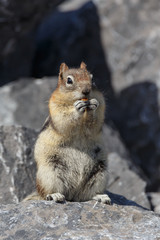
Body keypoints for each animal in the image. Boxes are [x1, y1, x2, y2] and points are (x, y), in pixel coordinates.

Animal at [24, 62, 111, 204]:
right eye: (69, 80)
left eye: (92, 78)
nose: (86, 91)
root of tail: (72, 195)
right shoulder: (55, 107)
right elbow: (65, 120)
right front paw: (77, 108)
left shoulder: (101, 105)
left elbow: (95, 122)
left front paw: (93, 105)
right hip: (49, 174)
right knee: (47, 193)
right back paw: (55, 195)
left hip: (100, 173)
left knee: (85, 196)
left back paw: (101, 196)